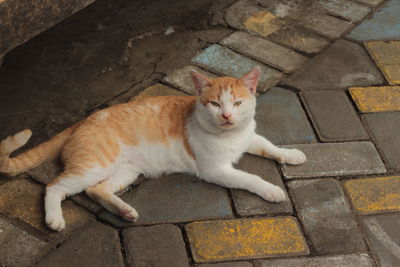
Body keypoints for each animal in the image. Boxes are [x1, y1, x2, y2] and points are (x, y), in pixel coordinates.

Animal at [0, 66, 306, 231]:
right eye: (215, 104)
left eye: (238, 103)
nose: (227, 116)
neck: (230, 136)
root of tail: (82, 121)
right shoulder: (215, 170)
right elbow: (250, 178)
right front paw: (271, 189)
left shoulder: (249, 138)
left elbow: (271, 146)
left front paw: (291, 154)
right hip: (94, 166)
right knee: (55, 187)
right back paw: (54, 218)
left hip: (126, 170)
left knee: (96, 190)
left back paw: (124, 211)